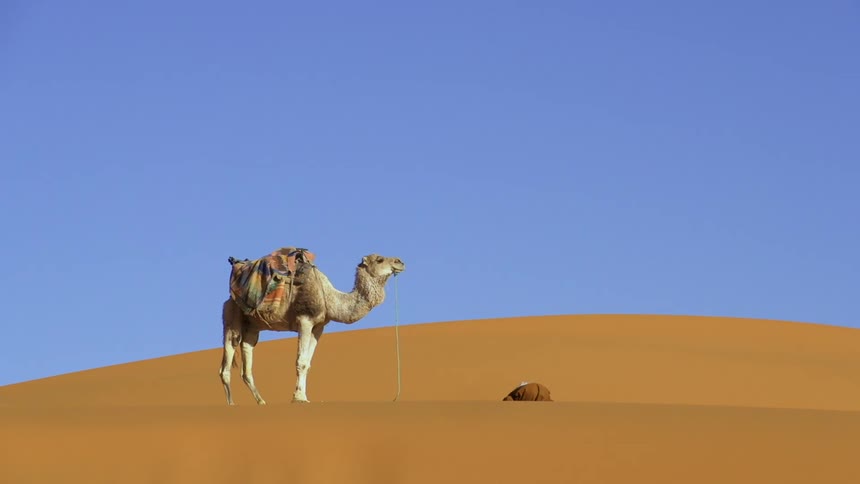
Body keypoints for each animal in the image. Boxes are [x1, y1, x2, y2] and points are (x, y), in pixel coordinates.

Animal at [218, 251, 406, 405]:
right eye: (380, 259)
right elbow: (300, 361)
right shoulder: (305, 320)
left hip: (252, 327)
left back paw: (261, 402)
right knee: (226, 362)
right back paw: (231, 404)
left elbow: (308, 363)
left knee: (246, 363)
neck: (327, 297)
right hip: (232, 317)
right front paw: (299, 398)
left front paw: (304, 396)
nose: (400, 262)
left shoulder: (318, 327)